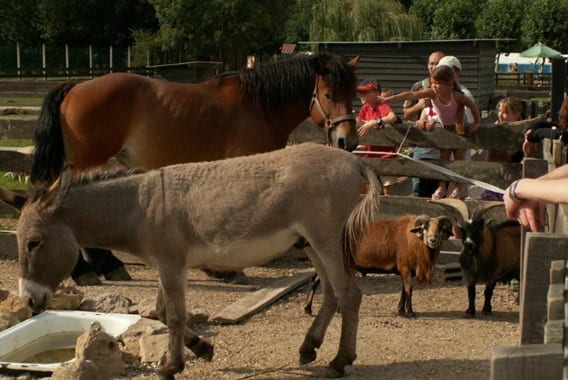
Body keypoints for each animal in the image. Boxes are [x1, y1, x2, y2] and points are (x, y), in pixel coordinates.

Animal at [5, 143, 382, 380]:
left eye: (33, 243)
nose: (30, 300)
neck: (138, 207)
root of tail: (354, 160)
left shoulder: (172, 263)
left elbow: (173, 316)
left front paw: (171, 367)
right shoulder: (164, 264)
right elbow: (159, 312)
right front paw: (202, 348)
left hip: (326, 240)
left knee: (350, 295)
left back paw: (339, 361)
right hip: (312, 244)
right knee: (332, 293)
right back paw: (309, 348)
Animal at [304, 214, 454, 318]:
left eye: (441, 229)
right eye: (424, 228)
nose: (433, 240)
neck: (414, 240)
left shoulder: (405, 270)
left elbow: (403, 290)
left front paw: (401, 311)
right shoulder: (405, 267)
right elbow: (409, 289)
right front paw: (410, 313)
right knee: (316, 281)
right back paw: (308, 309)